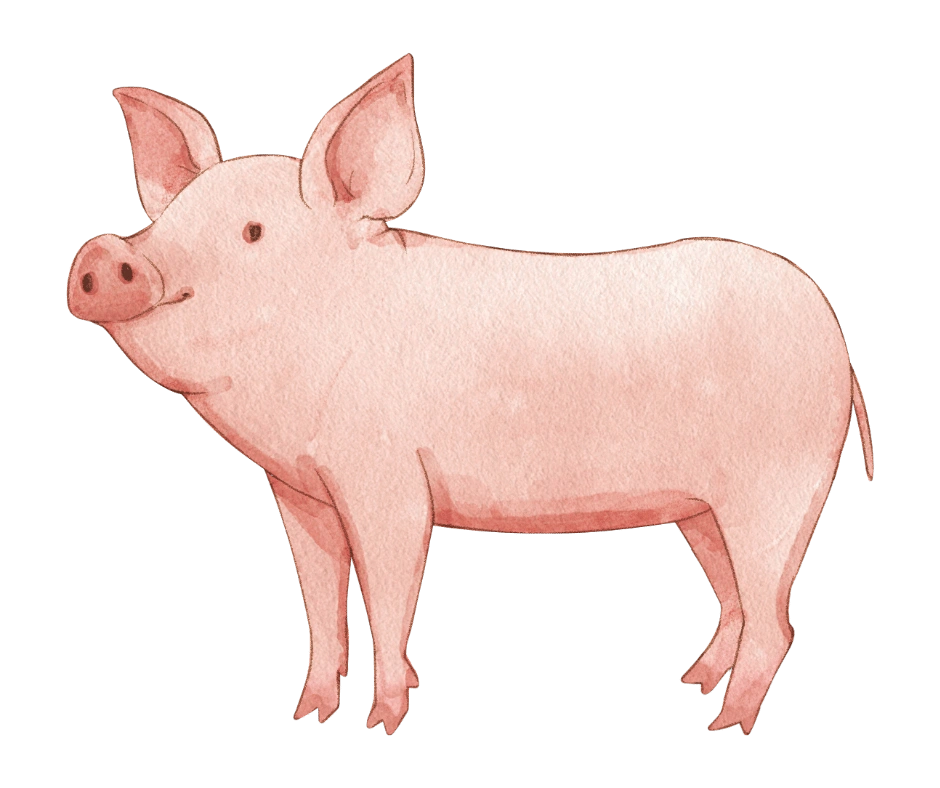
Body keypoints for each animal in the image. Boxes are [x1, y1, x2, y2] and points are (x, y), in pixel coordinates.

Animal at [65, 55, 875, 736]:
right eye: (164, 223)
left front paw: (382, 725)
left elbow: (389, 595)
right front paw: (308, 718)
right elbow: (321, 607)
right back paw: (691, 684)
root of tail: (837, 341)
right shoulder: (299, 491)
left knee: (774, 618)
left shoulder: (388, 480)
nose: (103, 256)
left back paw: (723, 724)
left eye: (253, 233)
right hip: (703, 508)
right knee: (736, 598)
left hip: (778, 486)